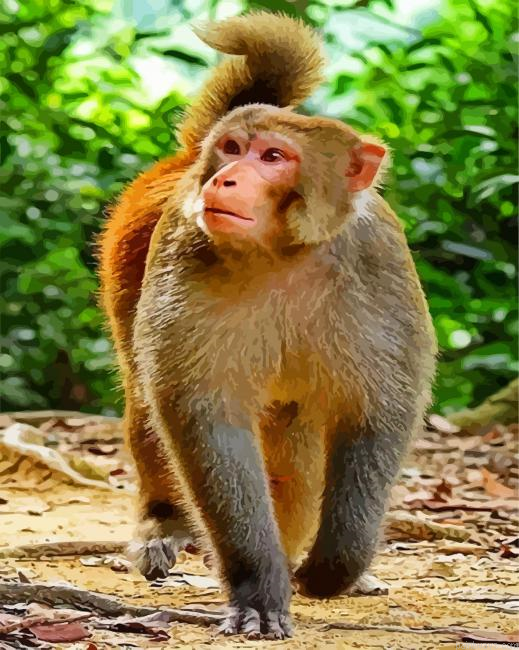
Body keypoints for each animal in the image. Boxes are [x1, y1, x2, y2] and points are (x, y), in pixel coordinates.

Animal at [98, 12, 437, 640]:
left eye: (274, 157)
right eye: (234, 149)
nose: (225, 178)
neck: (283, 254)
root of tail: (186, 158)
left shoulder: (381, 268)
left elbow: (377, 414)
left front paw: (337, 565)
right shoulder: (182, 255)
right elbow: (207, 419)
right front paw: (257, 586)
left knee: (295, 437)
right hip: (127, 252)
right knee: (145, 399)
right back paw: (164, 524)